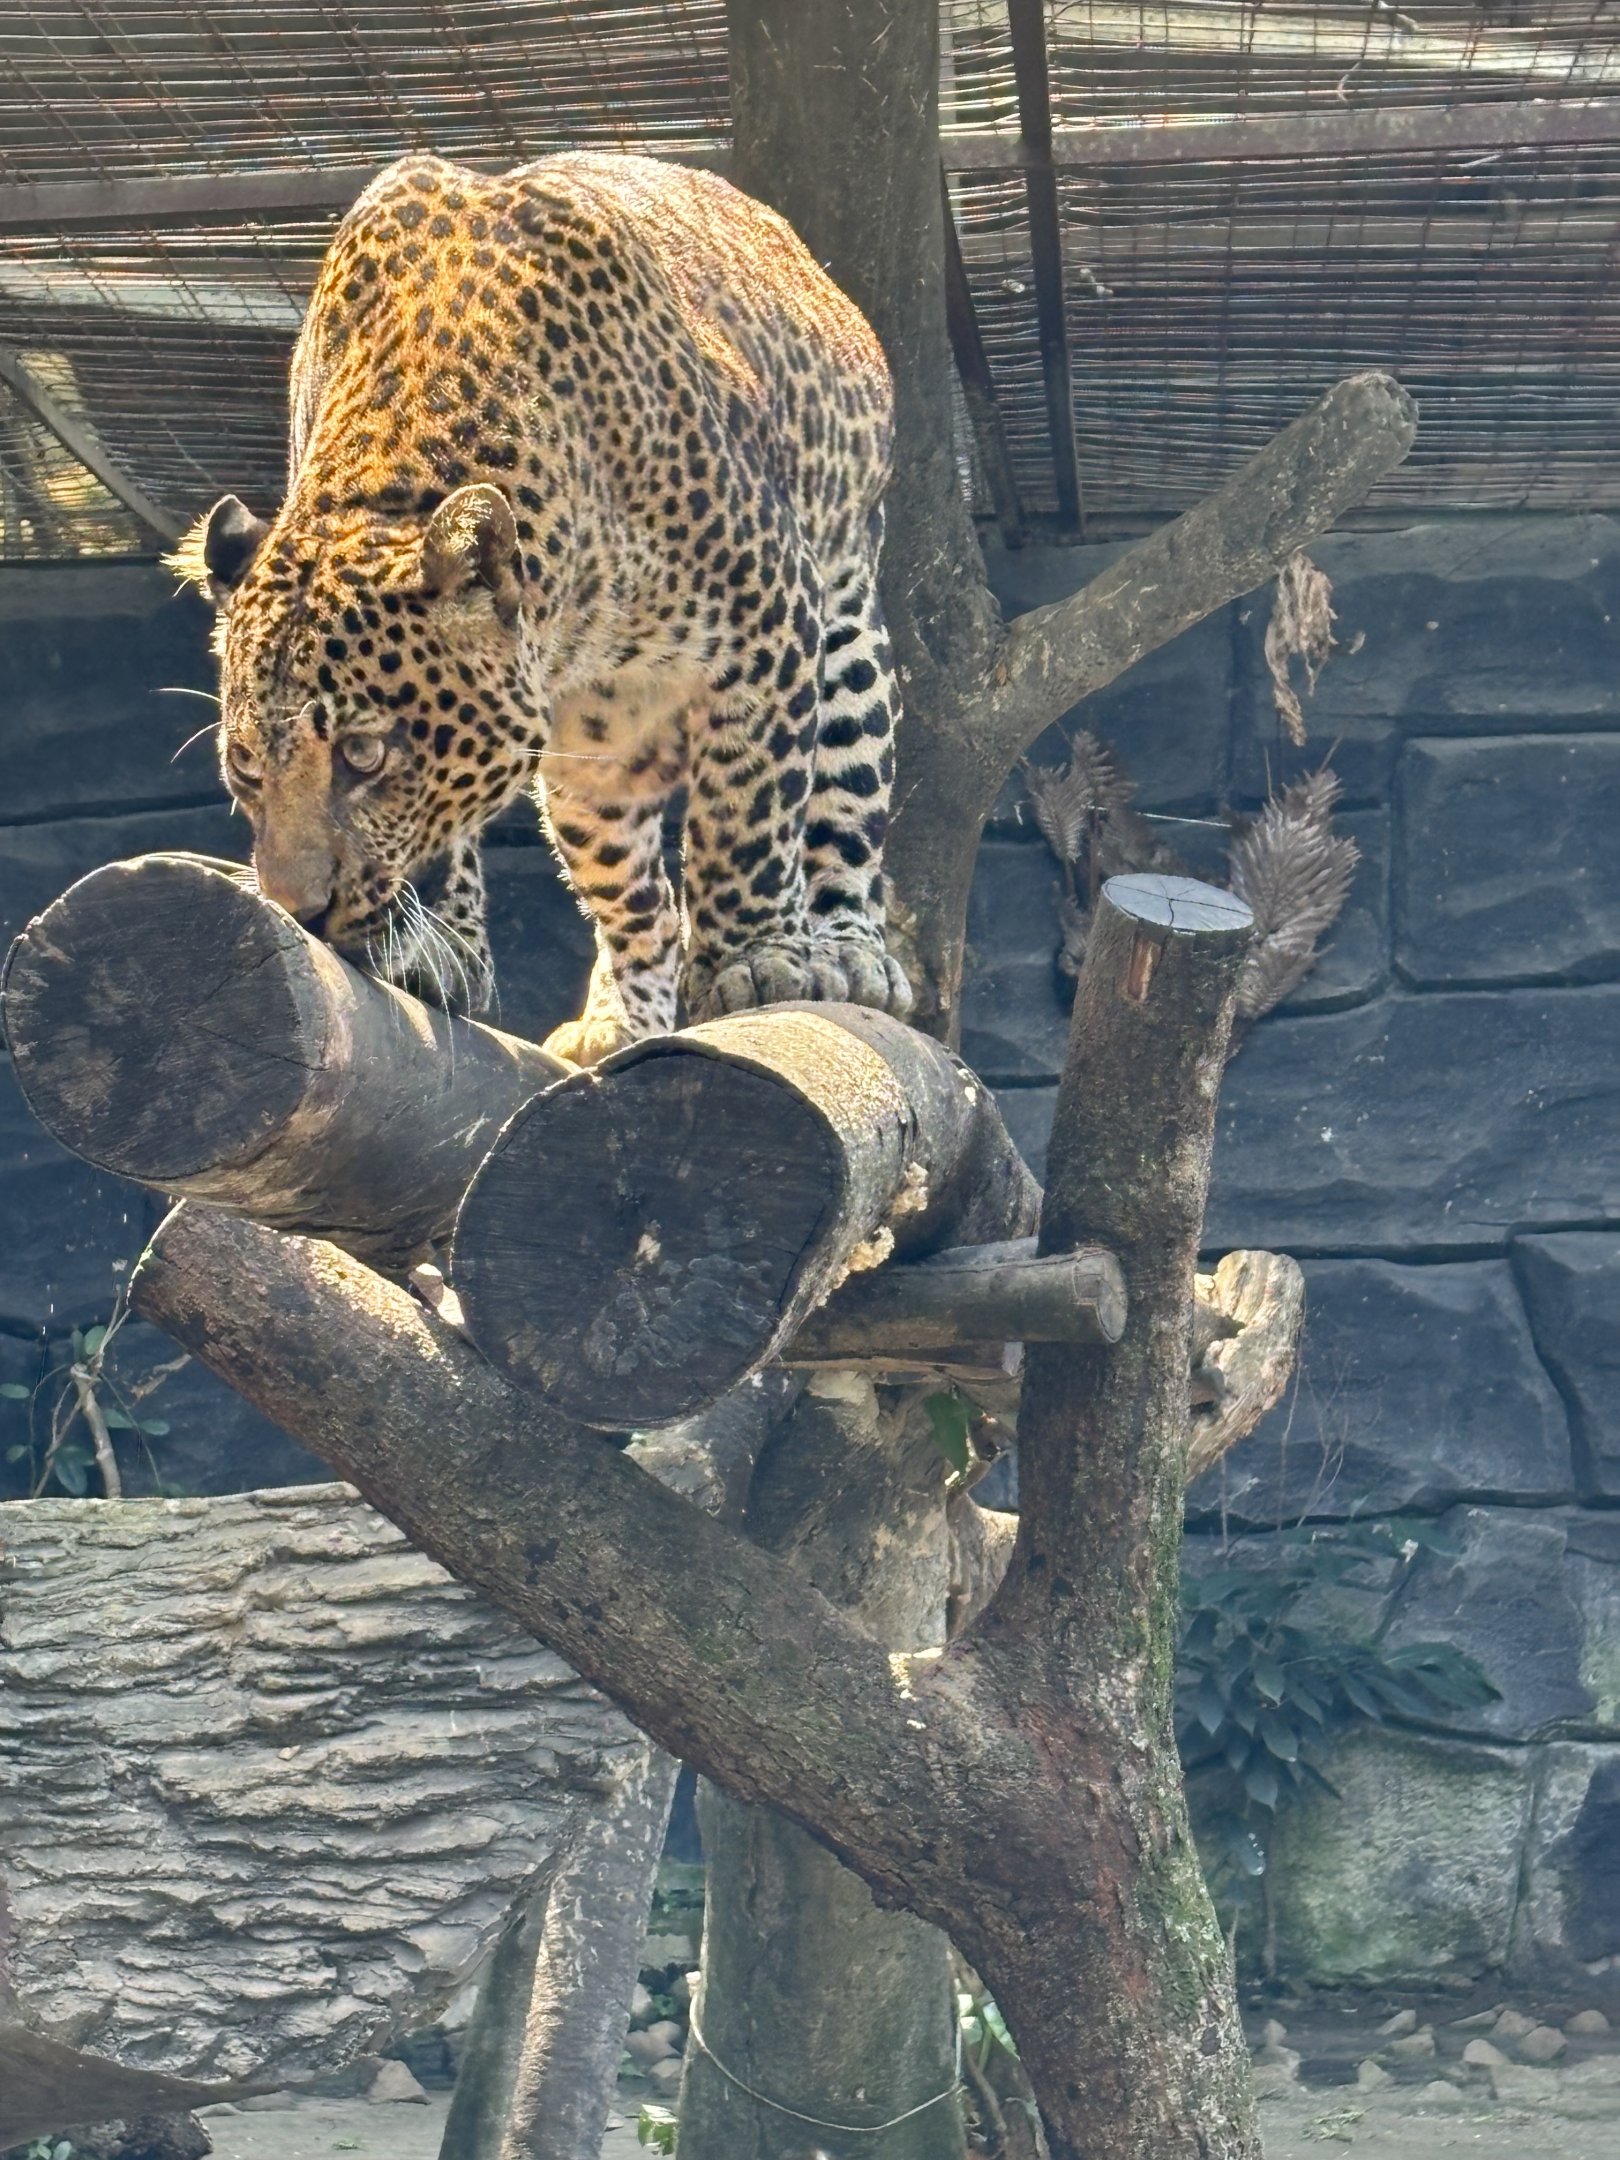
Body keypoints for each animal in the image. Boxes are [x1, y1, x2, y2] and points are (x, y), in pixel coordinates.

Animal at [169, 150, 912, 1065]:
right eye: (244, 766)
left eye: (363, 756)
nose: (300, 913)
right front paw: (441, 948)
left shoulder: (768, 618)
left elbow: (748, 814)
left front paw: (757, 959)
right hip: (592, 763)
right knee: (642, 901)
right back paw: (618, 1018)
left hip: (848, 633)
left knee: (844, 809)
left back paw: (847, 952)